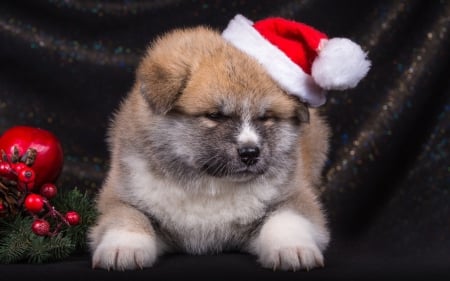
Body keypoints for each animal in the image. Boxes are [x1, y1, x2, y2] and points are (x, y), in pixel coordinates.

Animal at [89, 26, 330, 272]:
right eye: (214, 115)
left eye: (265, 117)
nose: (250, 153)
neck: (209, 186)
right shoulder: (120, 195)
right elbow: (128, 217)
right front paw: (123, 247)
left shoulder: (294, 195)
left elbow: (288, 218)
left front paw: (293, 248)